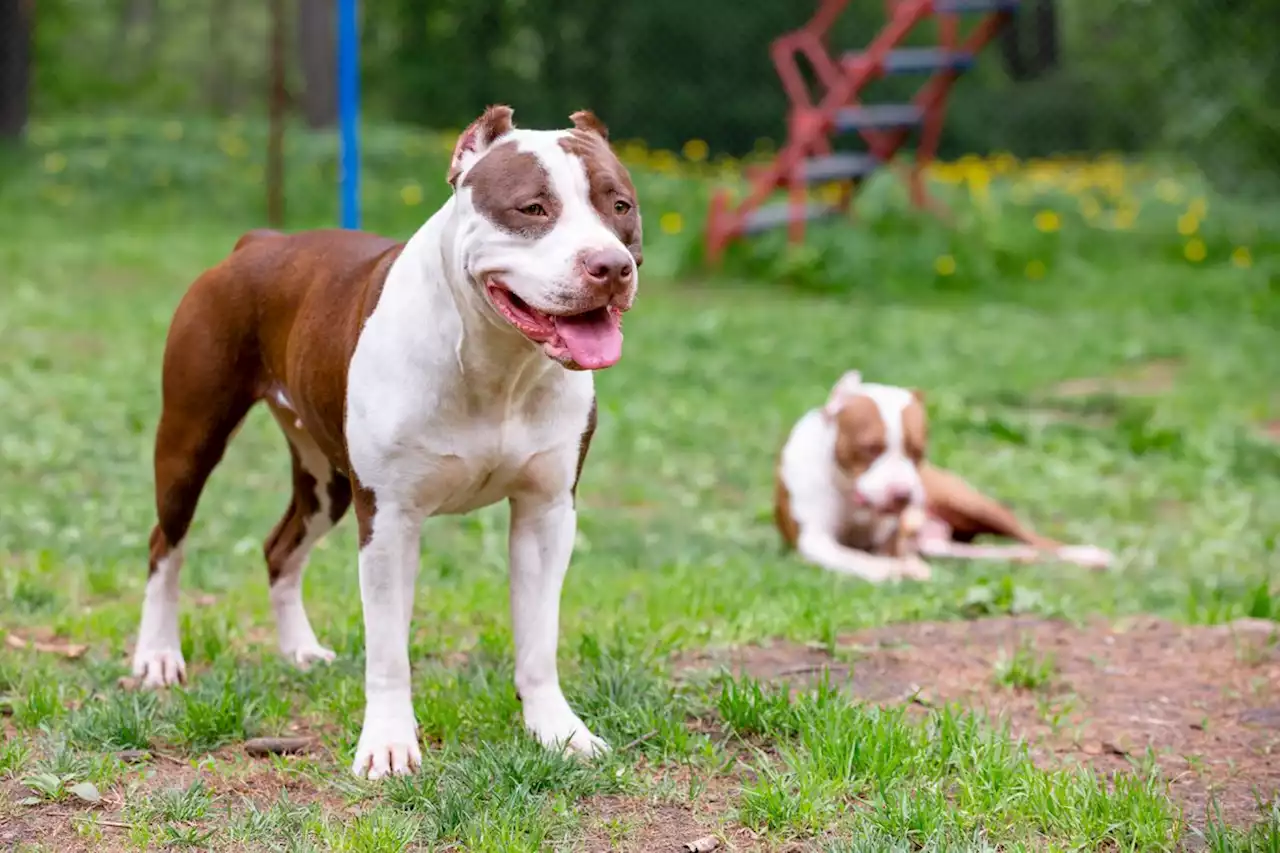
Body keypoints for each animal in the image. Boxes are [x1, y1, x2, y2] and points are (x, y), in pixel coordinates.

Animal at [132, 106, 640, 778]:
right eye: (533, 208)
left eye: (620, 206)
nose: (610, 266)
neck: (495, 361)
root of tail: (261, 242)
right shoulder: (389, 518)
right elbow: (389, 652)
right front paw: (390, 746)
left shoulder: (546, 512)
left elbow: (538, 639)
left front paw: (558, 732)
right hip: (190, 440)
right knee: (166, 543)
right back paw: (158, 656)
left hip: (325, 481)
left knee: (279, 548)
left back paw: (299, 650)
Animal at [773, 368, 1116, 581]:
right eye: (869, 448)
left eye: (918, 451)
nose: (903, 495)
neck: (848, 490)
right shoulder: (813, 539)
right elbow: (851, 557)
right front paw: (889, 571)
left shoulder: (892, 532)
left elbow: (887, 550)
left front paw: (900, 567)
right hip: (949, 545)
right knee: (1000, 552)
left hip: (972, 504)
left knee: (1037, 540)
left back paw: (1087, 555)